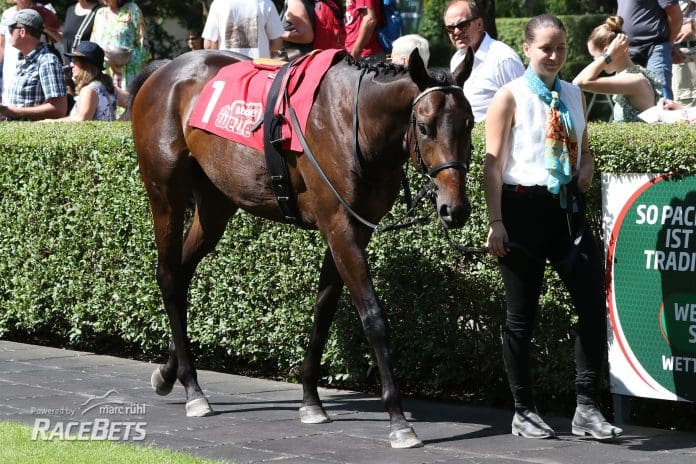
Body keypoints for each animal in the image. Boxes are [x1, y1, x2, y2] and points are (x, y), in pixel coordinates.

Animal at [130, 48, 476, 450]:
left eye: (469, 124)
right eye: (424, 127)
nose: (454, 209)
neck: (356, 121)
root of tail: (164, 70)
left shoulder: (352, 230)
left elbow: (324, 309)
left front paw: (311, 400)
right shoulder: (340, 226)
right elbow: (373, 317)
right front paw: (398, 419)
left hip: (216, 202)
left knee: (183, 272)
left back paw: (168, 371)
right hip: (165, 193)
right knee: (169, 275)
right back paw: (192, 388)